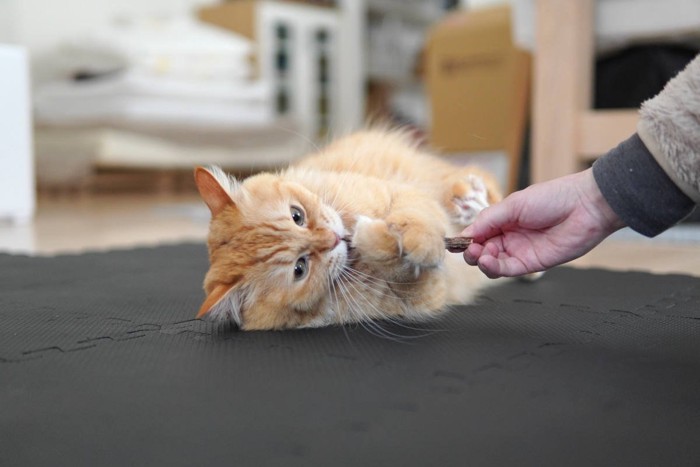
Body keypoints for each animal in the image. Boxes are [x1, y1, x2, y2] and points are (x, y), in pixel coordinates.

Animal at [193, 130, 504, 330]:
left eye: (297, 216)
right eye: (299, 269)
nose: (333, 238)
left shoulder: (401, 194)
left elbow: (417, 219)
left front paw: (403, 236)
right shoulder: (419, 294)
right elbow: (399, 261)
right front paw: (378, 239)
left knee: (479, 183)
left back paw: (469, 200)